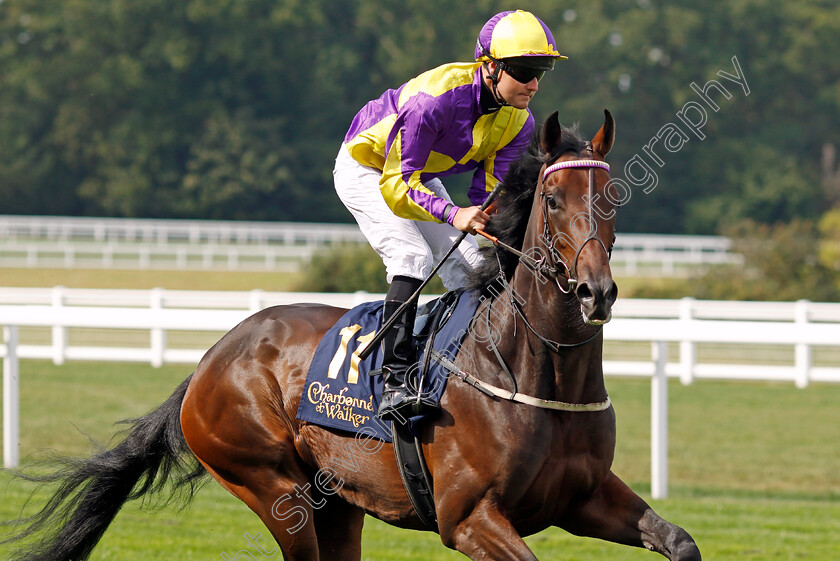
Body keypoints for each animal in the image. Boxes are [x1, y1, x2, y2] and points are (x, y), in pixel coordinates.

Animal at [3, 110, 700, 560]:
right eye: (552, 201)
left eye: (613, 196)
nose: (595, 292)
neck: (535, 371)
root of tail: (208, 361)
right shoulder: (468, 517)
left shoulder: (585, 498)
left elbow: (680, 542)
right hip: (275, 490)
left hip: (337, 502)